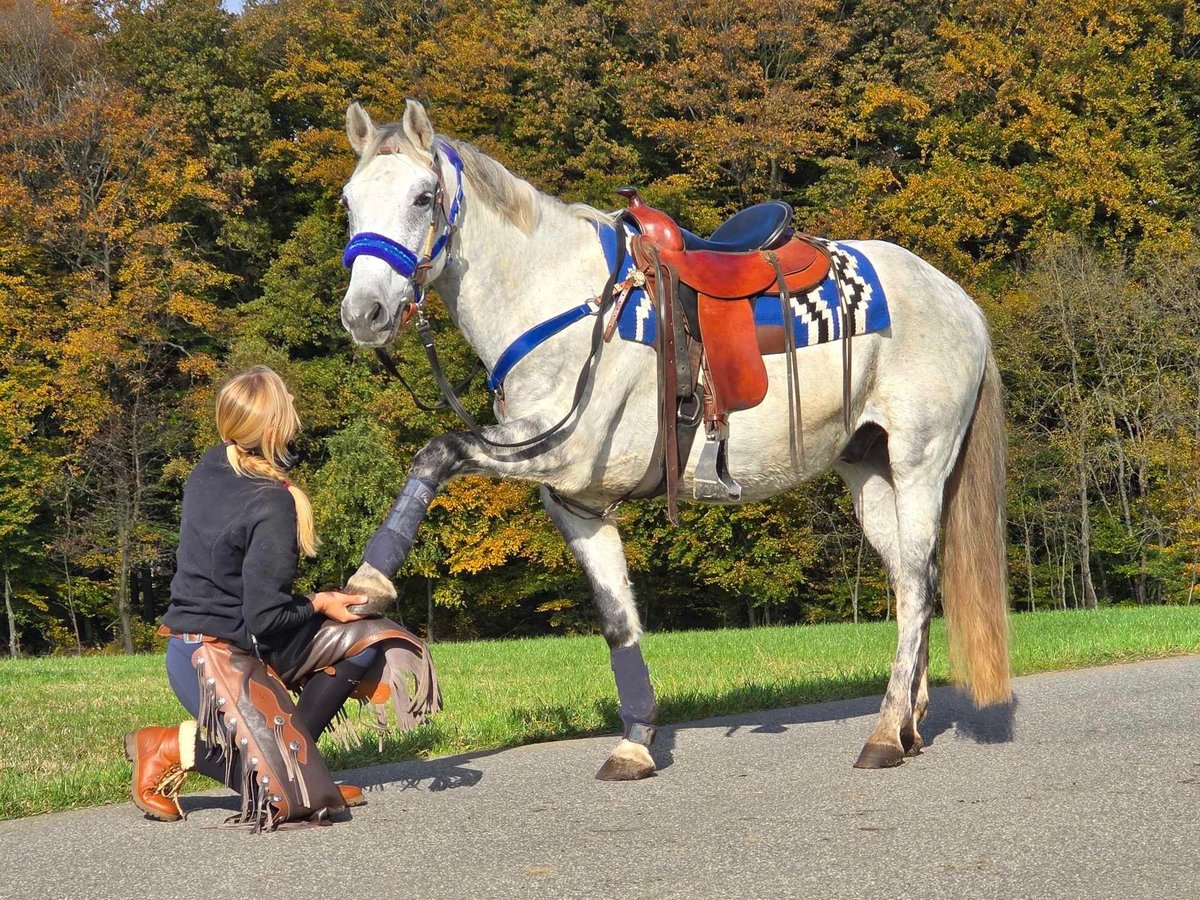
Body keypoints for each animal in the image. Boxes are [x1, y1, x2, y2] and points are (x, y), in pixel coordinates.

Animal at [340, 100, 1012, 782]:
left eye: (423, 196)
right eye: (348, 201)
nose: (363, 313)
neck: (565, 303)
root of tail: (959, 299)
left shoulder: (559, 451)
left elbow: (436, 452)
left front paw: (370, 580)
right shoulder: (574, 500)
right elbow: (618, 621)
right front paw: (636, 742)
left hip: (920, 463)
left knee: (917, 581)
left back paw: (883, 732)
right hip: (870, 470)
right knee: (909, 582)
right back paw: (908, 723)